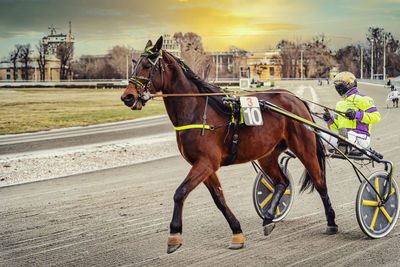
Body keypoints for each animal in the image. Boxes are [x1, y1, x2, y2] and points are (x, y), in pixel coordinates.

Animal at [119, 36, 338, 254]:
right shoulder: (203, 165)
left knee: (319, 181)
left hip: (304, 147)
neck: (197, 111)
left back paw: (331, 222)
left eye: (147, 65)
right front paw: (237, 233)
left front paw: (174, 235)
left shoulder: (207, 162)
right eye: (134, 64)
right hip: (267, 155)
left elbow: (180, 193)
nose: (127, 96)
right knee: (281, 182)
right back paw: (268, 218)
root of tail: (296, 98)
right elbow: (219, 199)